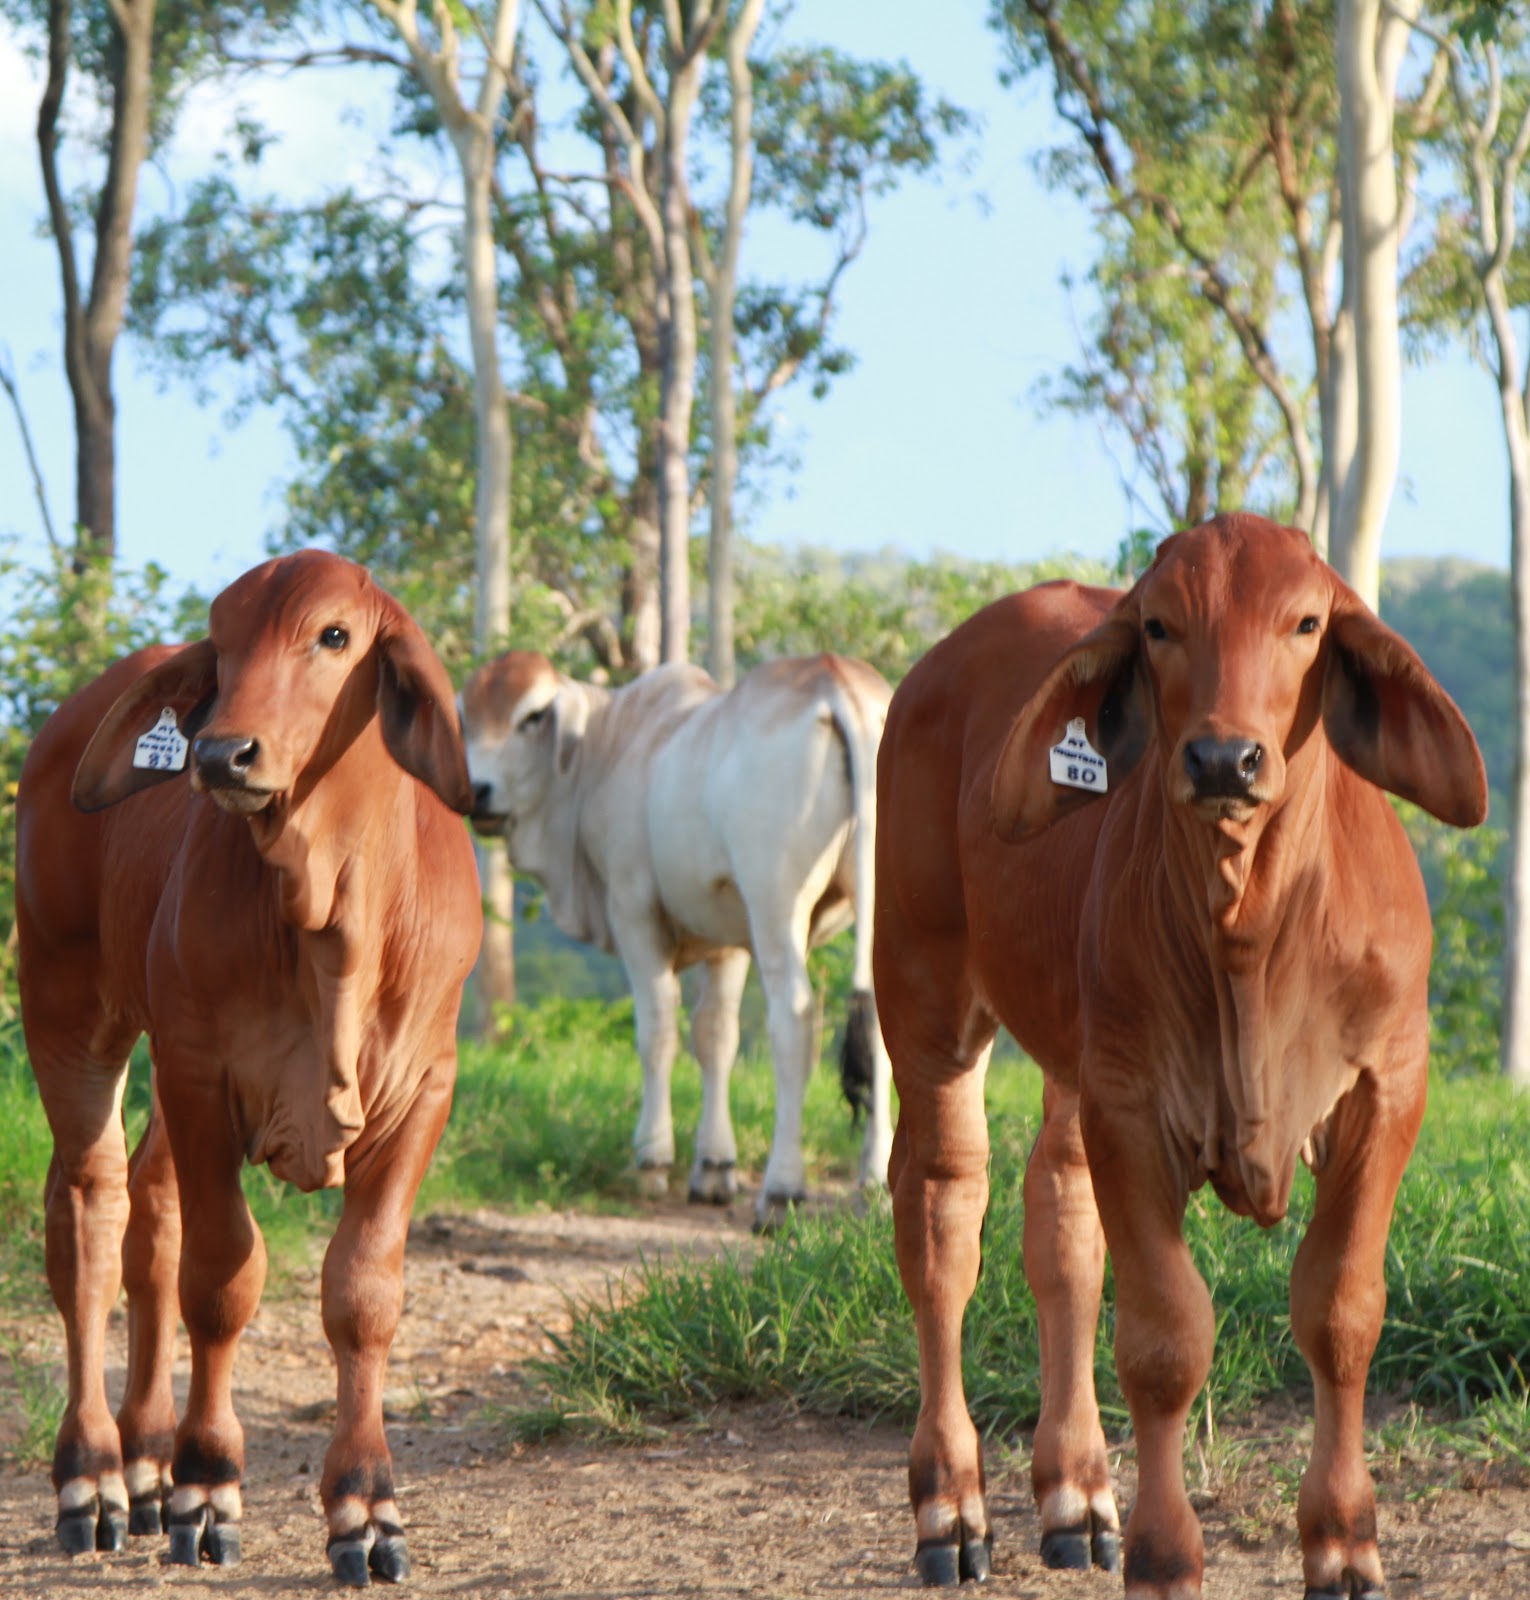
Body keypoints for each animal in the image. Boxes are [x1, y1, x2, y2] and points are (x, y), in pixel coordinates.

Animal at [15, 551, 482, 1586]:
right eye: (221, 643)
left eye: (335, 636)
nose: (219, 754)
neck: (332, 915)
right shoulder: (200, 1074)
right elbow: (222, 1278)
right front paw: (207, 1484)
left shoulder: (426, 1089)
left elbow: (363, 1292)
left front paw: (365, 1508)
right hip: (69, 1013)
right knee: (92, 1219)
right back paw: (97, 1474)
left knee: (149, 1210)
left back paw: (145, 1462)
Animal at [461, 650, 893, 1228]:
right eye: (465, 718)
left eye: (532, 716)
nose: (478, 791)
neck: (608, 745)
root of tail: (838, 680)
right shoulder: (729, 939)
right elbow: (715, 1036)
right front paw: (713, 1166)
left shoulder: (632, 909)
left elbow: (657, 1029)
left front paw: (652, 1158)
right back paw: (876, 1183)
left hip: (775, 903)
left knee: (794, 1020)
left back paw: (781, 1190)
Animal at [873, 514, 1487, 1597]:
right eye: (1159, 624)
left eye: (1306, 622)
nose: (1223, 758)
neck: (1249, 925)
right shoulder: (1129, 1106)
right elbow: (1164, 1340)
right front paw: (1166, 1556)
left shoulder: (1386, 1089)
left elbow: (1341, 1312)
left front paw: (1344, 1541)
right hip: (925, 1001)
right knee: (943, 1218)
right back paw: (951, 1506)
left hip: (1066, 1061)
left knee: (1060, 1219)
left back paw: (1076, 1495)